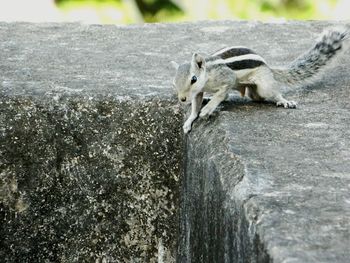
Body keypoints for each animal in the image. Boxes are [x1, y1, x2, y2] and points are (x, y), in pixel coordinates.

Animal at [172, 27, 350, 134]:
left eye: (193, 79)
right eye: (174, 82)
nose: (182, 99)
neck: (207, 75)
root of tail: (268, 68)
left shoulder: (227, 77)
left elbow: (221, 93)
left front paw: (207, 109)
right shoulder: (198, 93)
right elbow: (195, 106)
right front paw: (190, 120)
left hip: (264, 85)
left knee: (272, 94)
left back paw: (284, 101)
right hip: (253, 91)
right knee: (253, 98)